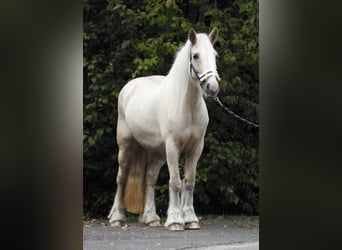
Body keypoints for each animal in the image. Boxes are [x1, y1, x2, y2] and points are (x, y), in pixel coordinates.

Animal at [107, 26, 219, 230]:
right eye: (196, 56)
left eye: (214, 55)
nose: (212, 88)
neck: (187, 107)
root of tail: (128, 87)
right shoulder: (173, 148)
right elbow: (175, 182)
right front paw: (175, 221)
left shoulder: (196, 149)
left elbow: (189, 182)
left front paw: (190, 219)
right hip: (126, 146)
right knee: (121, 177)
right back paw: (117, 217)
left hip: (157, 151)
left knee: (149, 178)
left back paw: (151, 218)